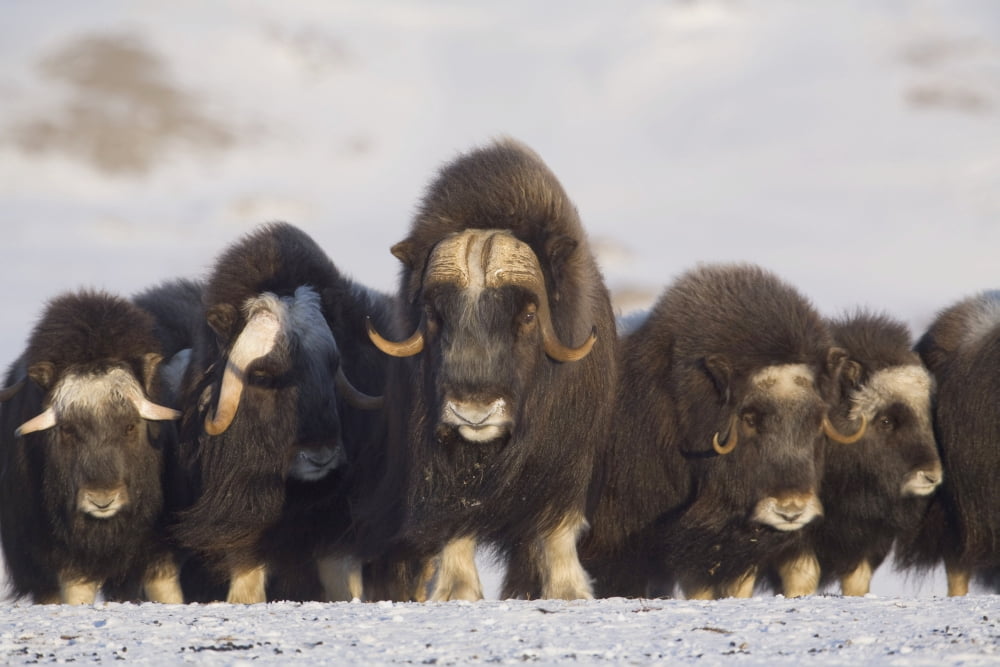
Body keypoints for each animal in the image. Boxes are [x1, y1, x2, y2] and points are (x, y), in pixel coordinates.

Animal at [361, 138, 618, 601]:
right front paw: (456, 592)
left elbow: (557, 530)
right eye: (433, 313)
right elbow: (451, 526)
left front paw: (569, 592)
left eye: (529, 314)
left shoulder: (567, 460)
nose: (473, 410)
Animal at [767, 312, 941, 596]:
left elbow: (858, 580)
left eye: (929, 417)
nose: (931, 477)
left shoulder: (869, 539)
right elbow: (803, 575)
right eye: (885, 421)